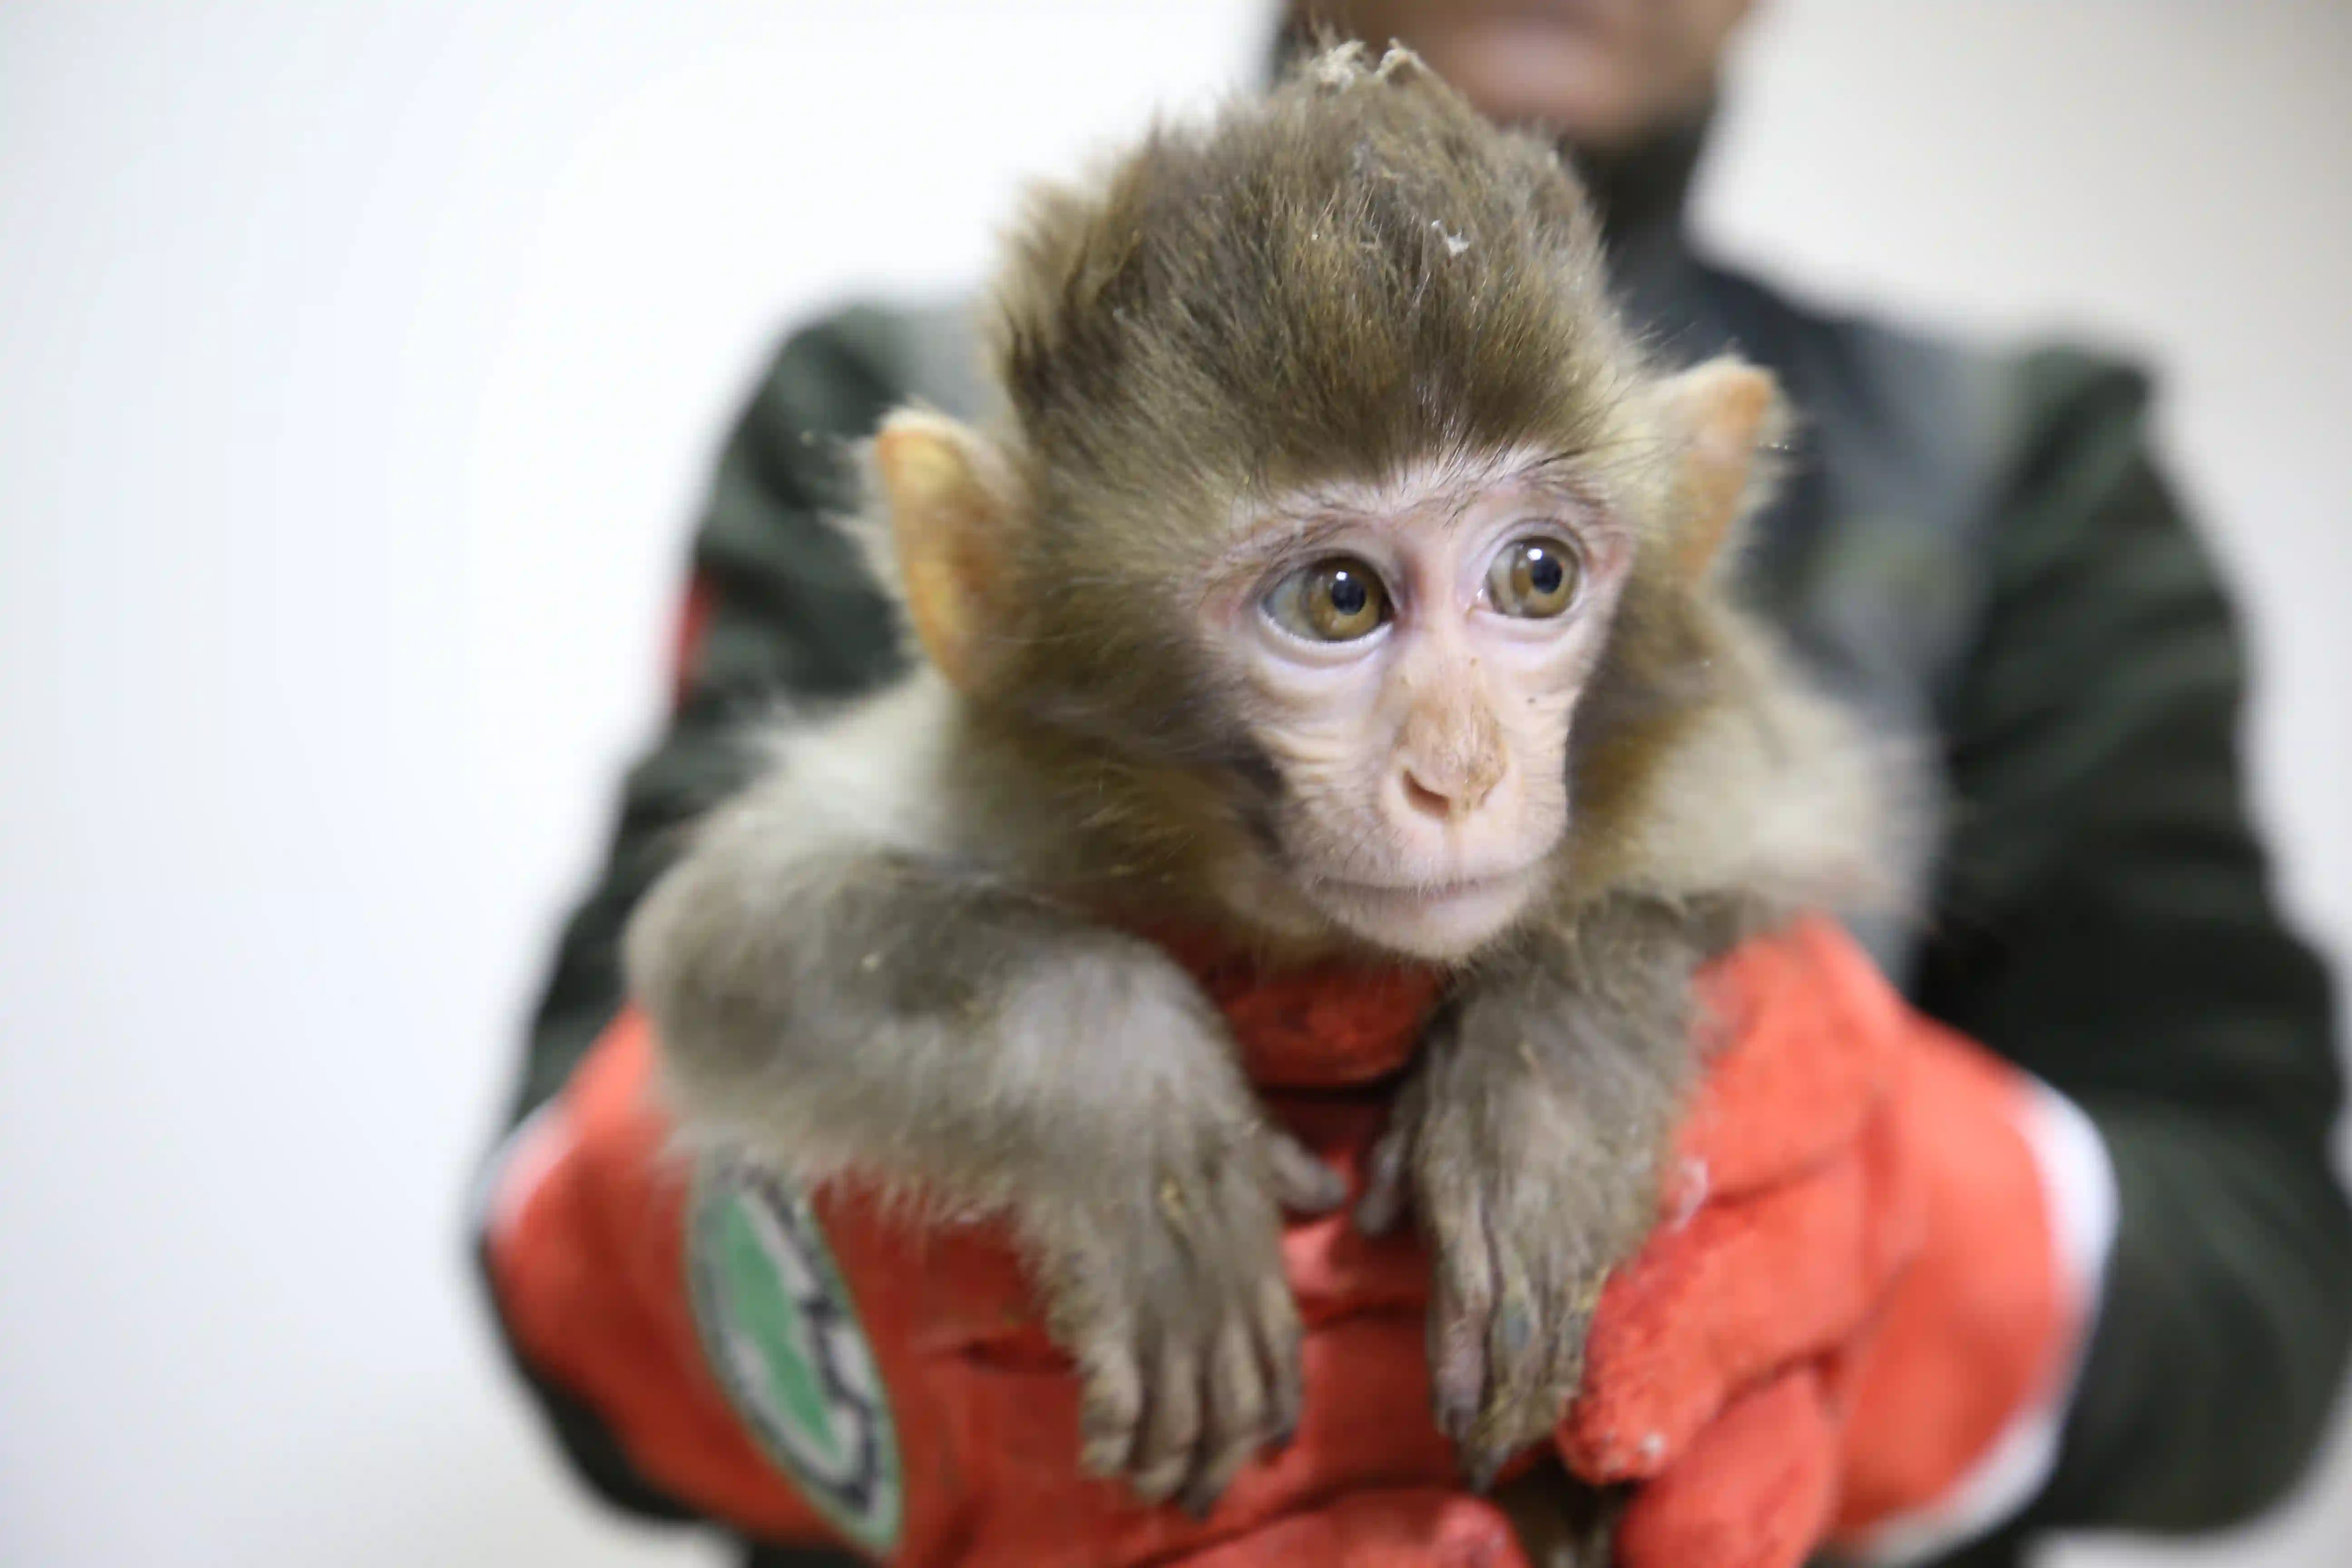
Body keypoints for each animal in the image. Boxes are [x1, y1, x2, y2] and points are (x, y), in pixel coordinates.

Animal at [625, 40, 1891, 1523]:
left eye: (1538, 575)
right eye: (1339, 598)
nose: (1459, 771)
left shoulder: (1718, 774)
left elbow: (1791, 847)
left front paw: (1544, 1088)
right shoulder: (994, 785)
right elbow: (728, 939)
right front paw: (1137, 1116)